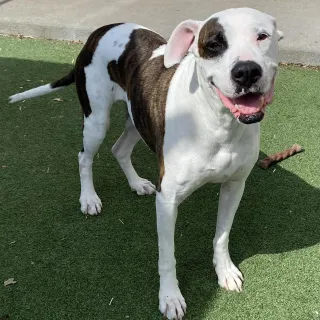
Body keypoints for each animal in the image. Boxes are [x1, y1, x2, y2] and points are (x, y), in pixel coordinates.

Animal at [8, 8, 282, 320]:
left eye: (262, 36)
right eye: (214, 44)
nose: (247, 71)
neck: (218, 122)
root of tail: (99, 31)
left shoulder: (234, 186)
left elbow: (222, 236)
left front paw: (224, 271)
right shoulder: (167, 202)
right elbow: (167, 256)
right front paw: (170, 297)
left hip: (136, 118)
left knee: (119, 149)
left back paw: (136, 183)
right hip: (96, 120)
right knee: (84, 157)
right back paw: (89, 198)